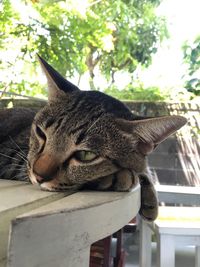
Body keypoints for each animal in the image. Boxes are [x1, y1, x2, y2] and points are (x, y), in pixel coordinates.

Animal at [0, 55, 188, 222]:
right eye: (40, 133)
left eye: (85, 155)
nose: (38, 176)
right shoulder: (12, 155)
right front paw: (121, 177)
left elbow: (143, 166)